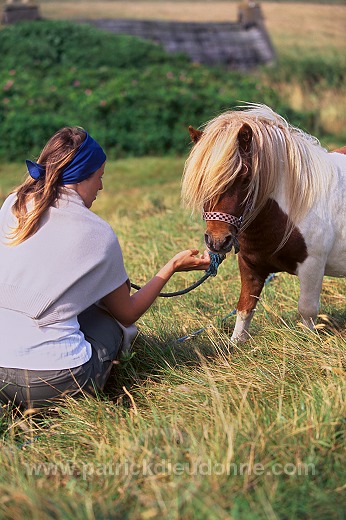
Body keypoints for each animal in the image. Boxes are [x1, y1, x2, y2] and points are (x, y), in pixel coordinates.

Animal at [182, 105, 344, 342]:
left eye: (245, 177)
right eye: (202, 180)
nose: (218, 241)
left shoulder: (312, 267)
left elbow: (307, 311)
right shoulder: (250, 266)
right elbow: (244, 307)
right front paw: (236, 344)